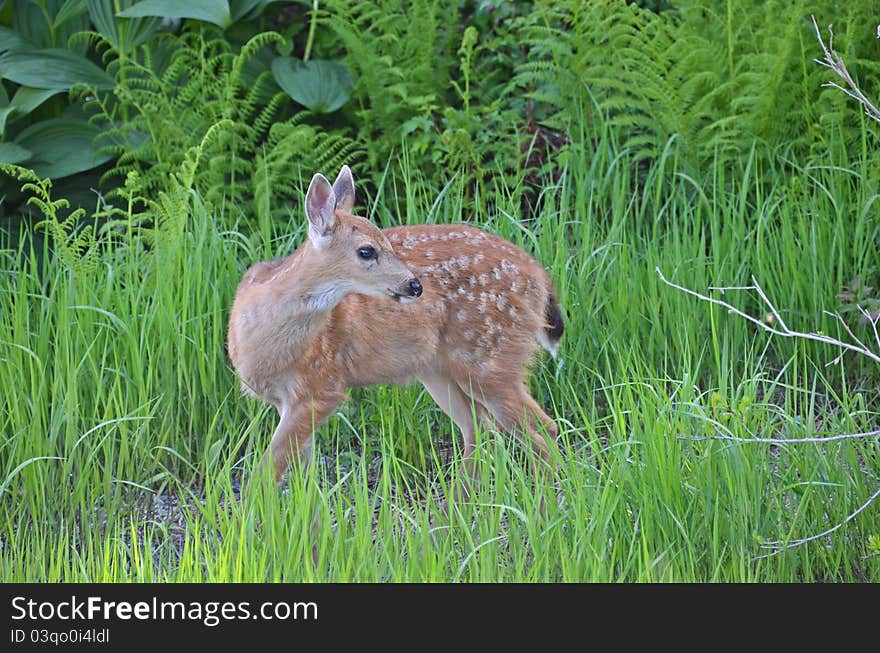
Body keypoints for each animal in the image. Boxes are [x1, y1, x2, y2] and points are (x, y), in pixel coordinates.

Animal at [229, 166, 564, 496]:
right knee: (481, 430)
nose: (415, 285)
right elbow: (305, 487)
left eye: (389, 244)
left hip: (490, 359)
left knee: (543, 428)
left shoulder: (322, 387)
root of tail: (538, 275)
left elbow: (261, 479)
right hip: (440, 371)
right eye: (366, 251)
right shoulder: (289, 402)